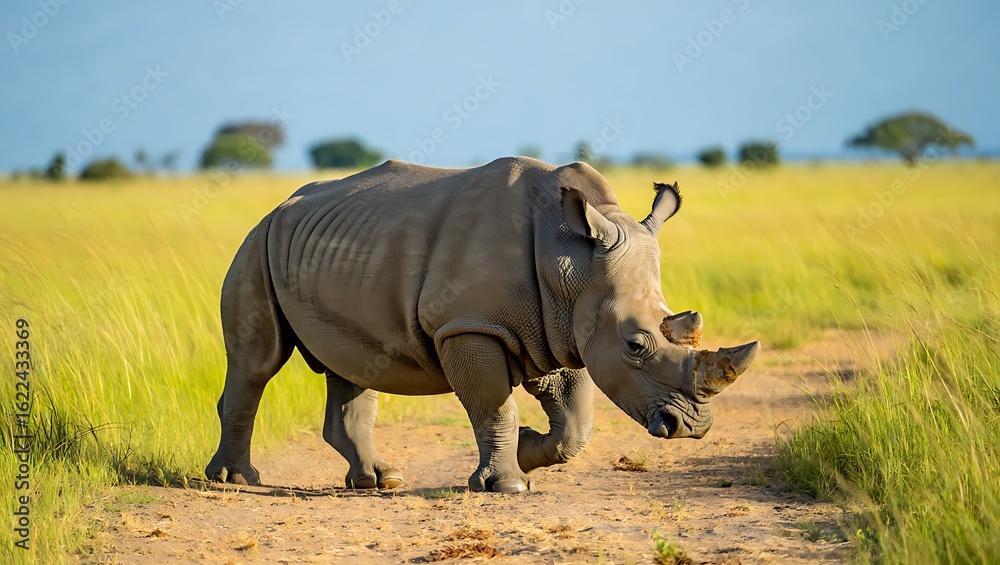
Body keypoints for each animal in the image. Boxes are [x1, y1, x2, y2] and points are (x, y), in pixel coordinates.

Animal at [206, 157, 759, 493]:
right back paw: (235, 480)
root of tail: (279, 206)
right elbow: (494, 406)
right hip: (257, 243)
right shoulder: (468, 325)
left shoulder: (561, 328)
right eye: (636, 345)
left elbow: (575, 424)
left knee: (353, 364)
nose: (692, 427)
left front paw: (528, 451)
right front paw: (508, 484)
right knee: (258, 363)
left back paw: (380, 481)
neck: (568, 260)